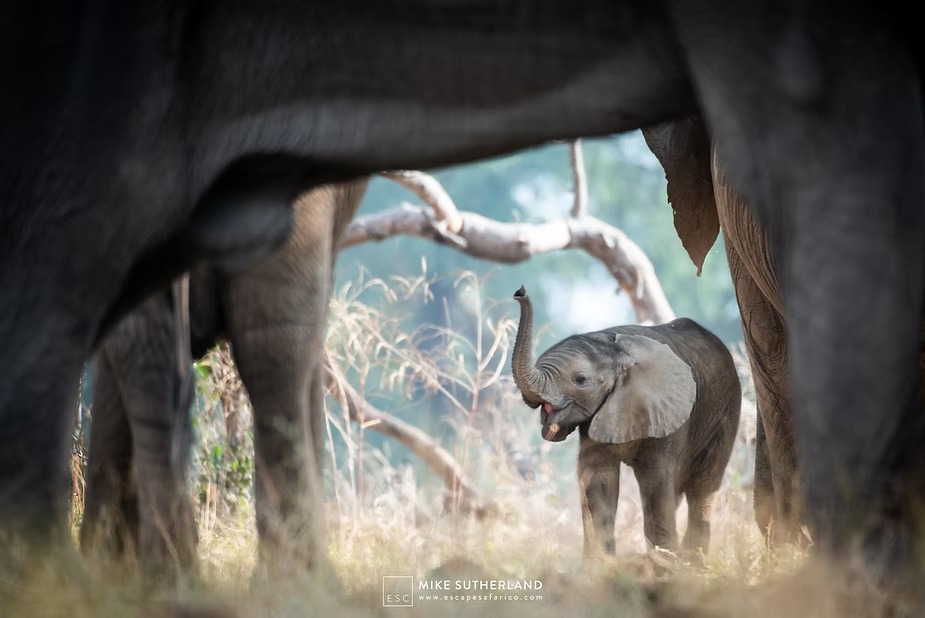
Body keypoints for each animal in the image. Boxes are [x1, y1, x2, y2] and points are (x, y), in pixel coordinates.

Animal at [510, 286, 741, 559]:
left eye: (580, 379)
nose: (520, 291)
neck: (612, 350)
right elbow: (598, 481)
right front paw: (601, 565)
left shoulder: (668, 413)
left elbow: (656, 481)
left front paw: (665, 565)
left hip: (726, 410)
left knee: (703, 486)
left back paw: (694, 560)